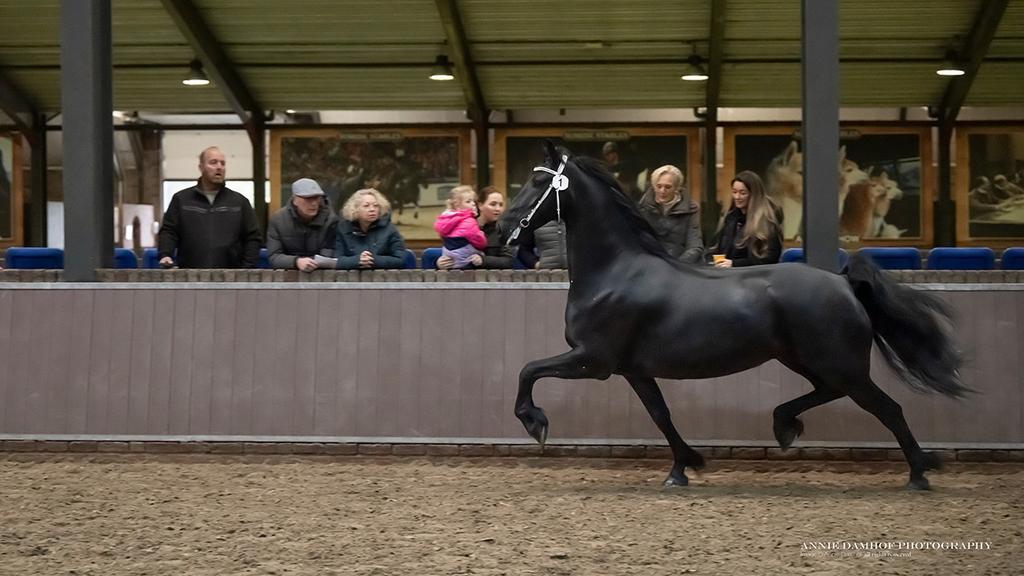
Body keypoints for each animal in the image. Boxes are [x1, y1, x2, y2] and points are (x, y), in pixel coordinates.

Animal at [500, 142, 968, 490]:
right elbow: (660, 415)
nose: (503, 225)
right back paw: (785, 425)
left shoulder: (593, 360)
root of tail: (844, 283)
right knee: (829, 393)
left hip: (841, 365)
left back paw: (919, 473)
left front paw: (535, 422)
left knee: (888, 408)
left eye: (539, 180)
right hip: (809, 361)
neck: (615, 272)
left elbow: (528, 370)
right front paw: (684, 467)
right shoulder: (633, 369)